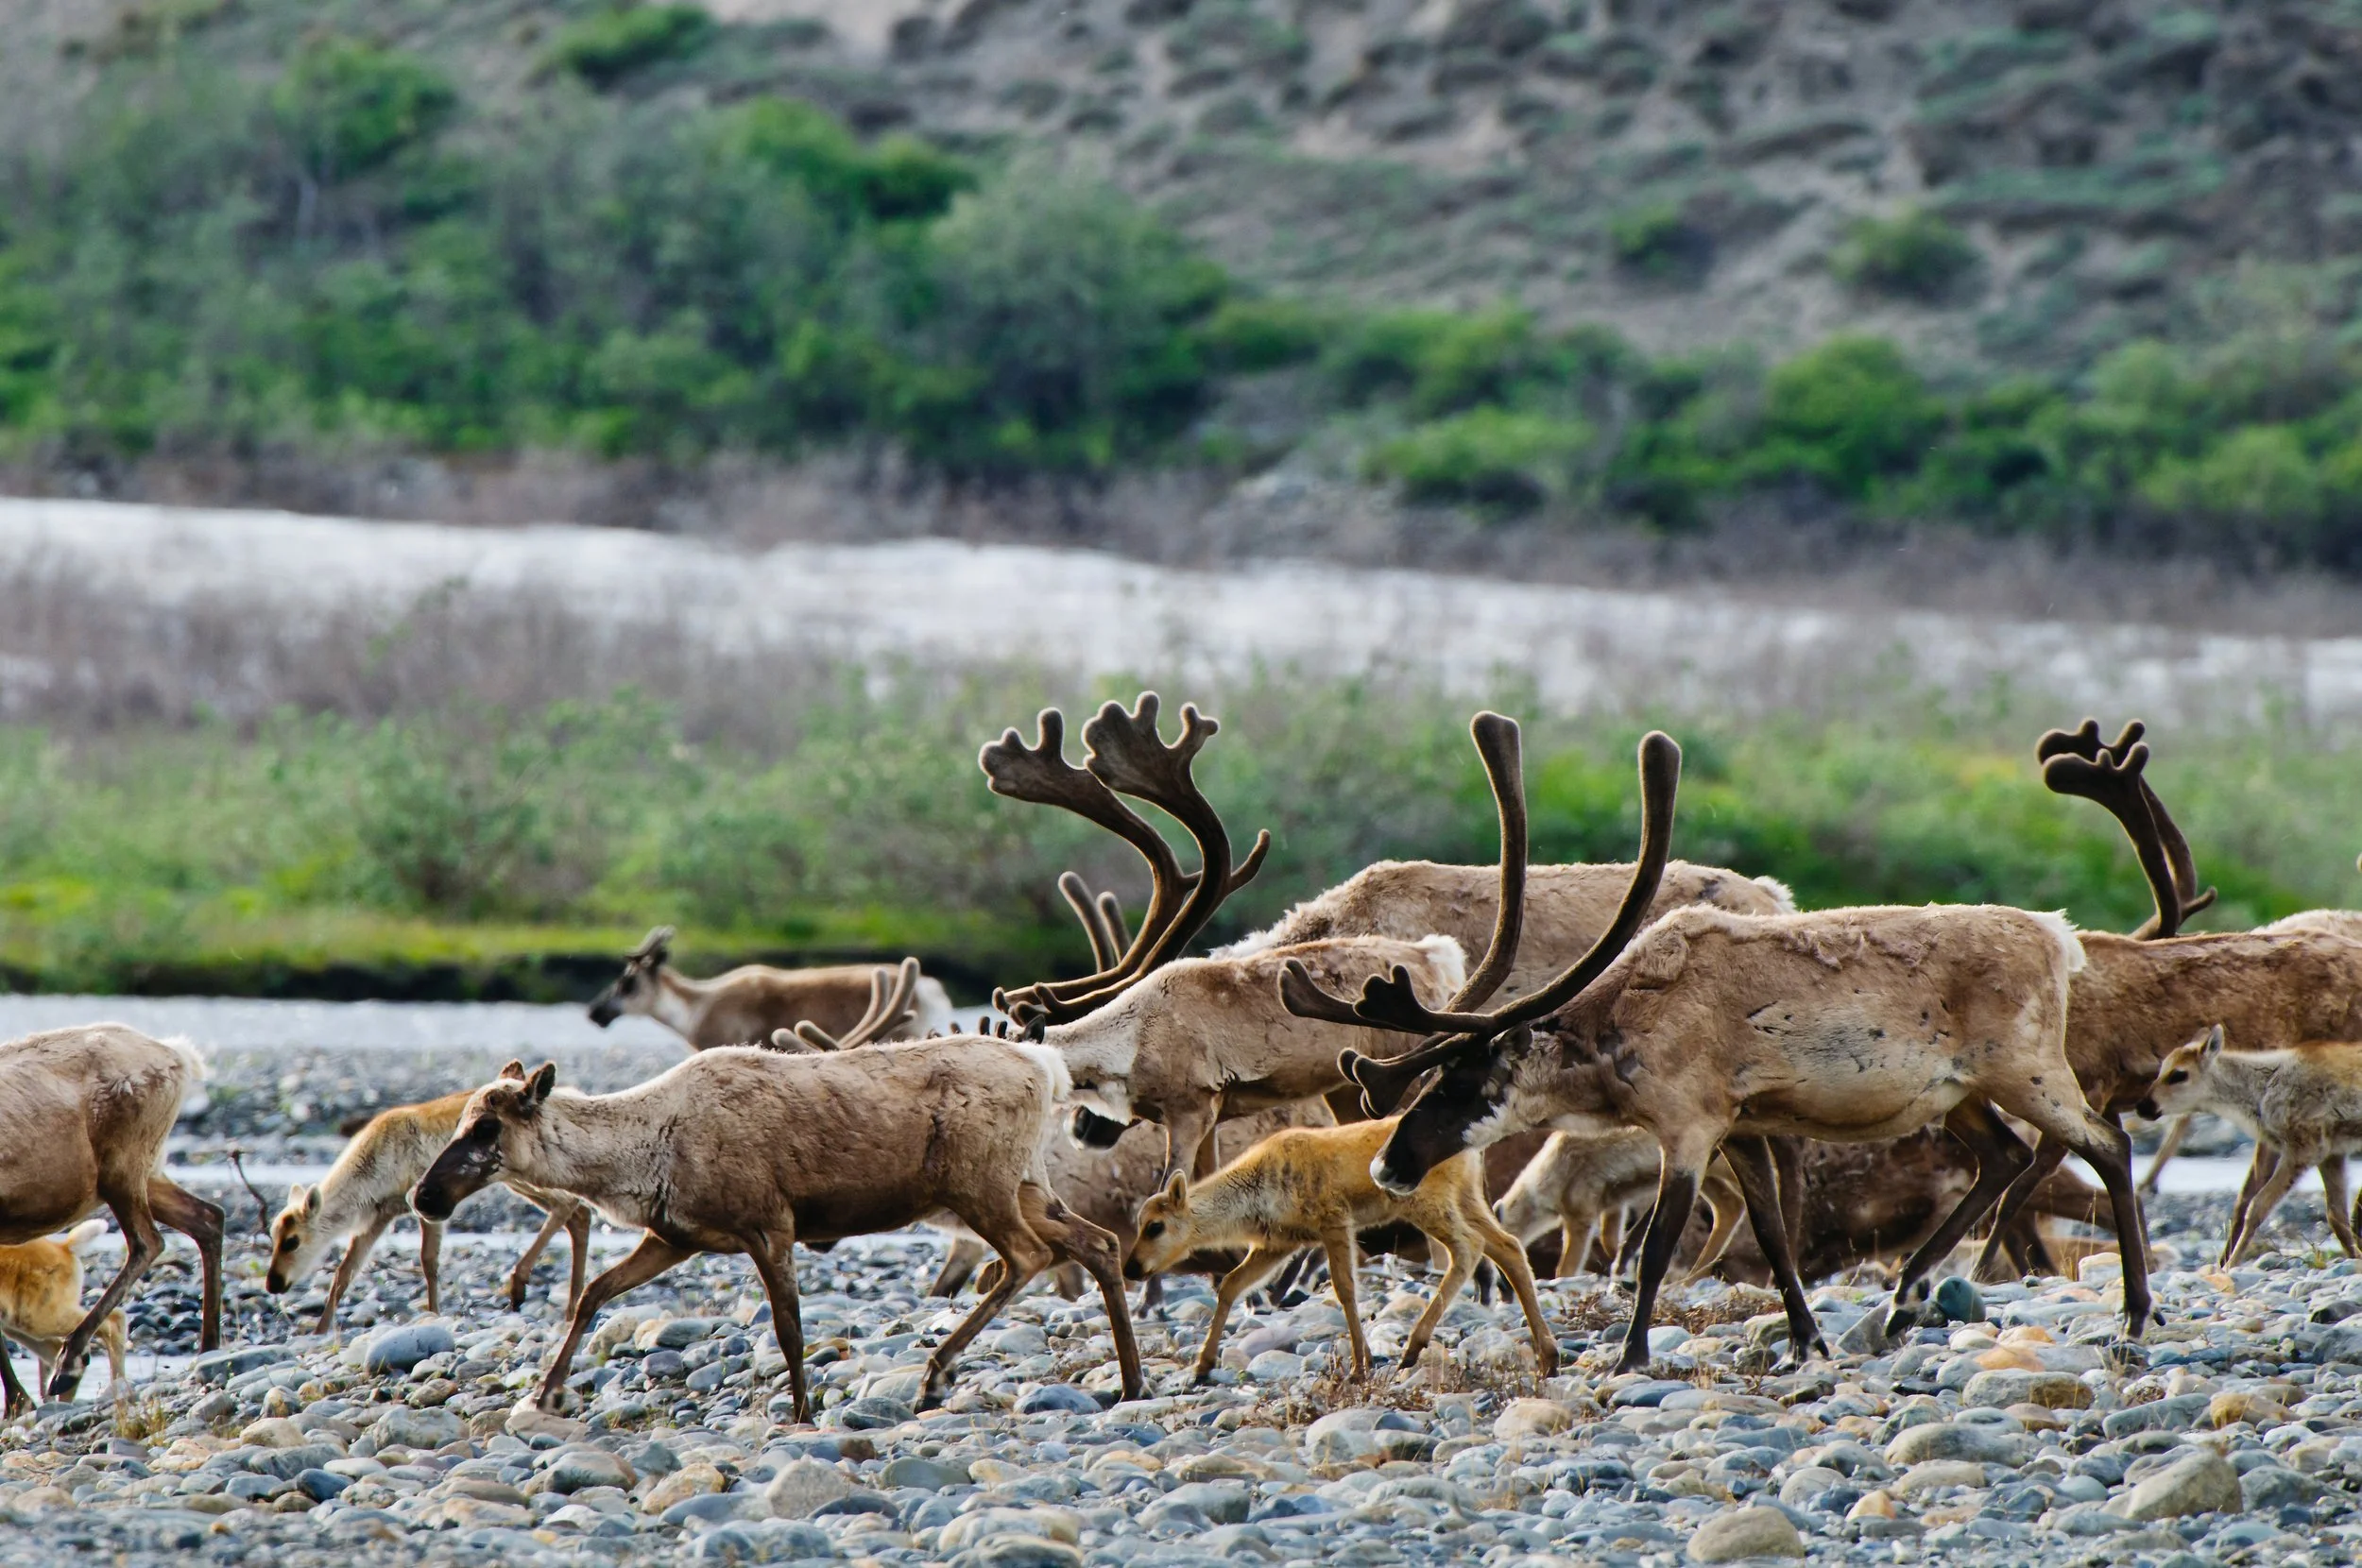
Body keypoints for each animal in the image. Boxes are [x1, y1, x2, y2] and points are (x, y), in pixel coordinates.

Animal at [266, 1071, 590, 1329]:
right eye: (273, 1235)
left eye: (292, 1241)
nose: (272, 1283)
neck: (372, 1165)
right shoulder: (378, 1216)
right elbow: (344, 1273)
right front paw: (320, 1330)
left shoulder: (424, 1206)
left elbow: (428, 1262)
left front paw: (434, 1313)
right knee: (579, 1215)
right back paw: (570, 1307)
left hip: (520, 1179)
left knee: (569, 1206)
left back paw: (523, 1285)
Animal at [1127, 1117, 1557, 1382]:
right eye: (1138, 1222)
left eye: (1155, 1226)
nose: (1131, 1268)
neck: (1255, 1193)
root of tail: (1472, 1148)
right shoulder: (1278, 1243)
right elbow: (1231, 1284)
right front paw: (1202, 1365)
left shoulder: (1333, 1220)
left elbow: (1345, 1288)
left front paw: (1360, 1365)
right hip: (1467, 1197)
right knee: (1508, 1246)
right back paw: (1548, 1356)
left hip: (1427, 1202)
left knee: (1469, 1247)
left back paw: (1413, 1347)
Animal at [1277, 719, 2151, 1375]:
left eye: (1463, 1082)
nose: (1389, 1166)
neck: (1617, 1032)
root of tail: (2059, 939)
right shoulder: (1746, 1127)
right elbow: (1772, 1234)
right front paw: (1808, 1341)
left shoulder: (1690, 1125)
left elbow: (1656, 1247)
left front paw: (1630, 1355)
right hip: (1962, 1092)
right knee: (2004, 1157)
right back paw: (1903, 1300)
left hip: (2028, 1070)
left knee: (2107, 1144)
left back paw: (2134, 1314)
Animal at [2140, 1025, 2362, 1264]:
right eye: (2161, 1069)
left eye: (2179, 1074)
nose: (2143, 1106)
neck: (2261, 1090)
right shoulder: (2332, 1154)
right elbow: (2336, 1215)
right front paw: (2355, 1257)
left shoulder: (2304, 1149)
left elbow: (2256, 1207)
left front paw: (2230, 1264)